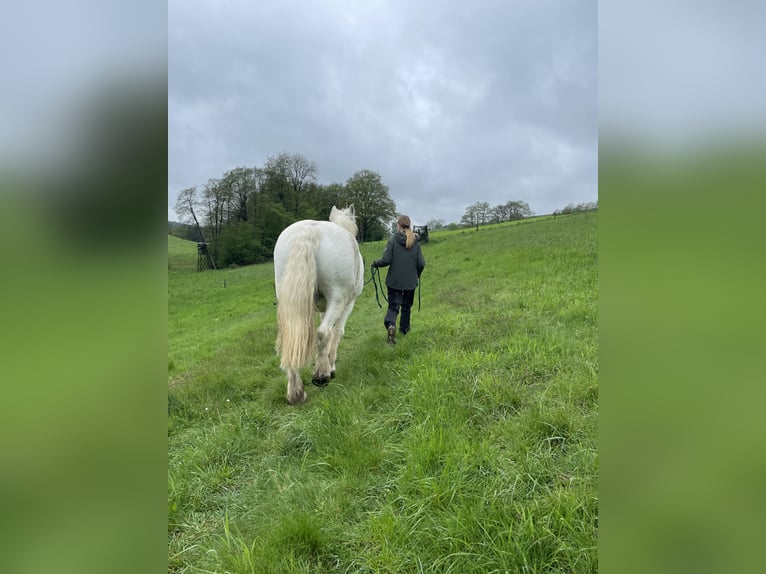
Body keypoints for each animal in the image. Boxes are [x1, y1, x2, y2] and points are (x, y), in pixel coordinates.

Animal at [272, 206, 366, 404]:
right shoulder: (347, 304)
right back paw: (321, 376)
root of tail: (309, 231)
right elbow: (337, 333)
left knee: (290, 338)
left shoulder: (323, 308)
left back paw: (296, 392)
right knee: (323, 332)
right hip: (338, 299)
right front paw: (330, 366)